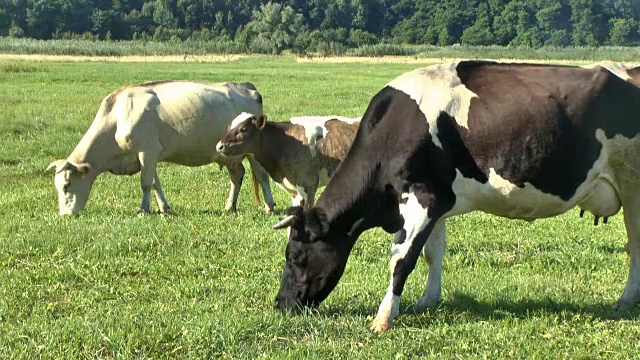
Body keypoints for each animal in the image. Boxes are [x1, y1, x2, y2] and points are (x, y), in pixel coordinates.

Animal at [45, 81, 276, 217]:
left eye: (66, 185)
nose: (64, 215)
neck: (117, 117)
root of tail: (248, 87)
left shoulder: (147, 150)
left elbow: (146, 183)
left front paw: (143, 210)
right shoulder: (147, 156)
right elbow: (155, 184)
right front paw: (164, 207)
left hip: (253, 153)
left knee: (262, 175)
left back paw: (269, 206)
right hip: (229, 154)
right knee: (237, 175)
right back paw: (229, 206)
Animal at [272, 61, 640, 332]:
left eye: (295, 256)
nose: (280, 303)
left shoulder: (423, 198)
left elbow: (401, 260)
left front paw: (383, 318)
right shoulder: (438, 202)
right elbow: (432, 254)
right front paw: (427, 301)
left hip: (632, 185)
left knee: (635, 246)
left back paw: (625, 300)